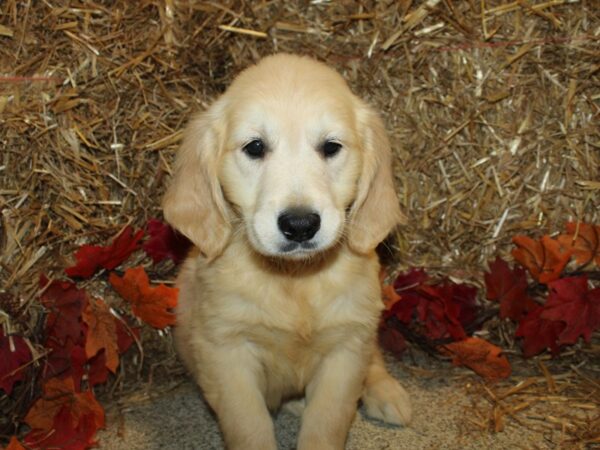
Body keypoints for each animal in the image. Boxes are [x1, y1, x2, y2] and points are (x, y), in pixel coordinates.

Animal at [162, 53, 410, 450]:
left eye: (331, 147)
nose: (300, 225)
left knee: (374, 358)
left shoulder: (346, 350)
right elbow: (249, 427)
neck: (294, 279)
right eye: (255, 147)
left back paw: (386, 393)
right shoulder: (225, 351)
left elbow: (326, 424)